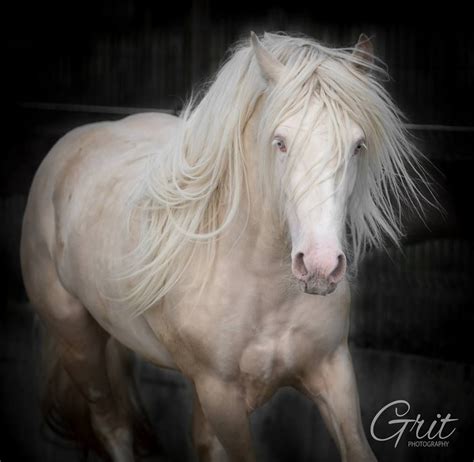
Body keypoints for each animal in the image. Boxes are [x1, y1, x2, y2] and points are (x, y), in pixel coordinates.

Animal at [19, 30, 430, 460]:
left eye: (358, 146)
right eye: (280, 142)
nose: (320, 266)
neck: (263, 286)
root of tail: (69, 146)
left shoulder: (333, 372)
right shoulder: (221, 397)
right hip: (78, 342)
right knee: (111, 424)